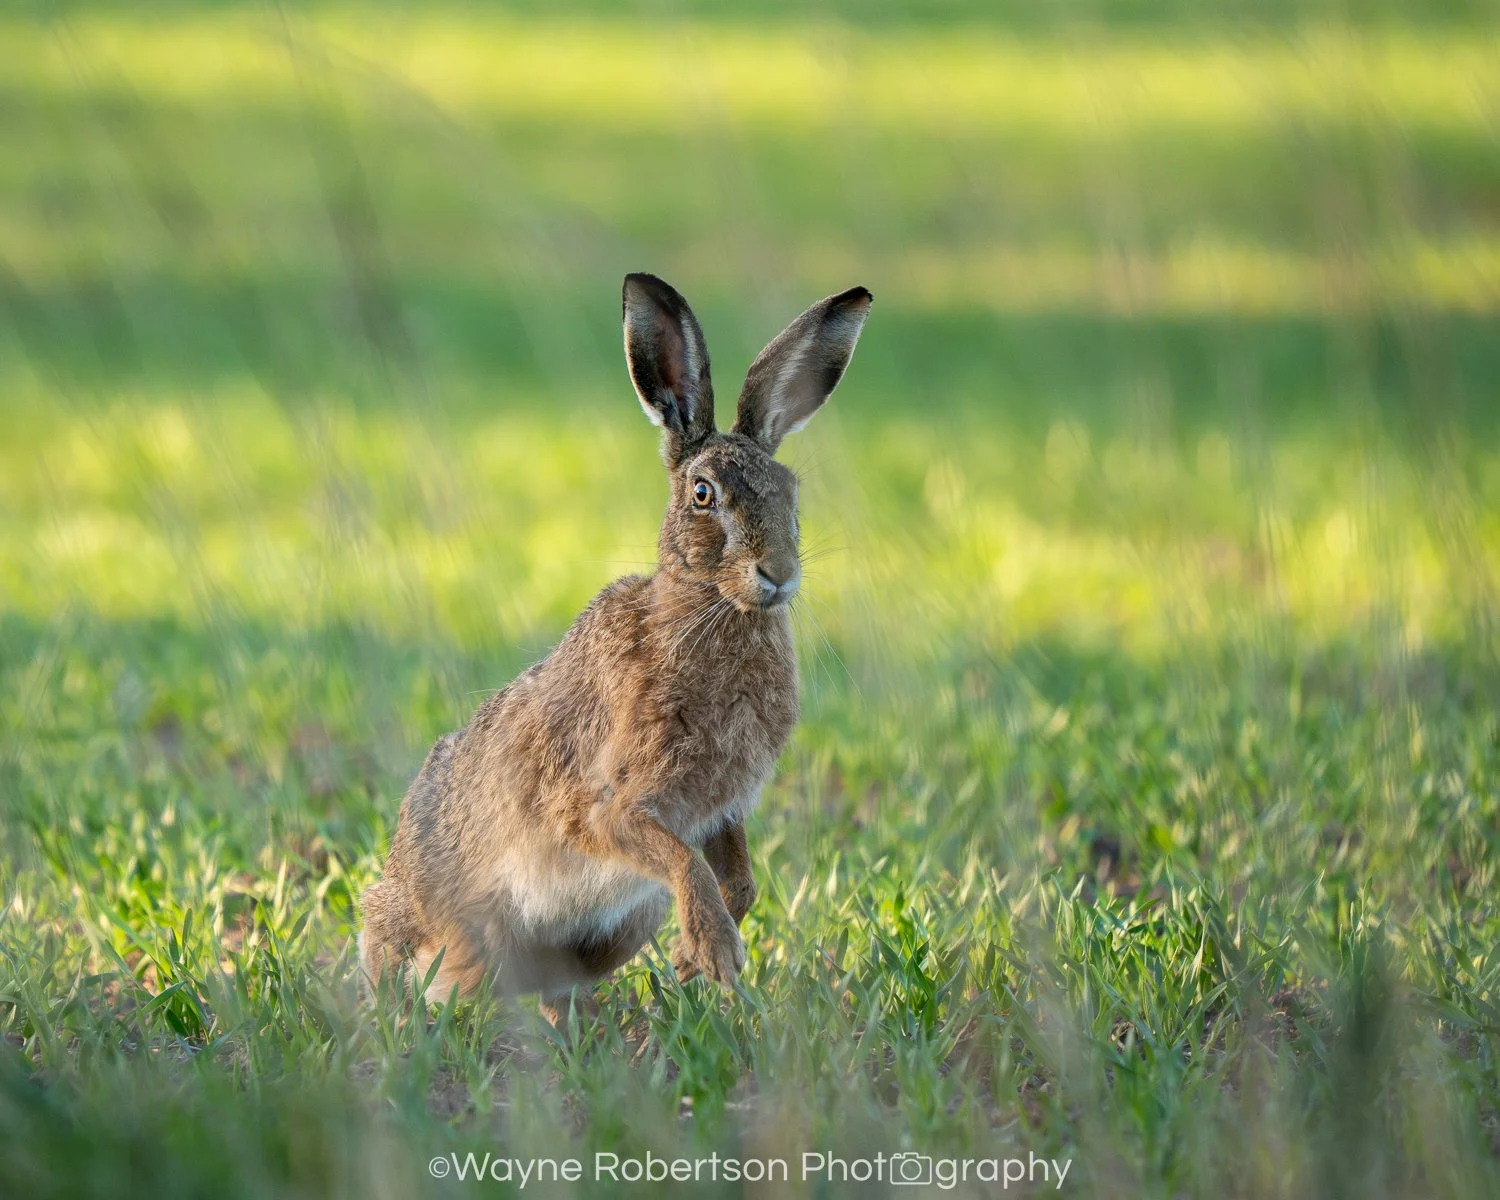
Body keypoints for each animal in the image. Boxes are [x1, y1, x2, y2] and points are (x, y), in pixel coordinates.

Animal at [358, 273, 872, 1020]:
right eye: (703, 493)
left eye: (792, 494)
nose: (779, 573)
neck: (709, 609)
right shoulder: (608, 809)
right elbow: (681, 860)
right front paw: (715, 951)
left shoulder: (723, 809)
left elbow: (740, 879)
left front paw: (692, 957)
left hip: (615, 929)